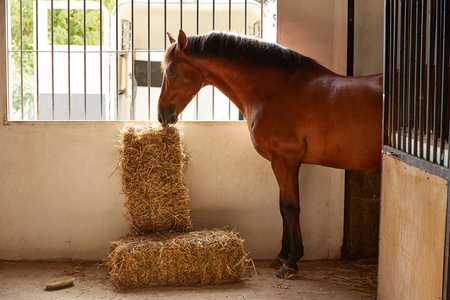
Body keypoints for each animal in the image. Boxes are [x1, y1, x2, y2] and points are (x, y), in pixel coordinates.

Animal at [156, 29, 382, 276]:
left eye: (171, 71)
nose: (161, 115)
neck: (274, 91)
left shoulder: (285, 161)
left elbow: (291, 208)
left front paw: (291, 261)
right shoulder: (281, 163)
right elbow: (282, 208)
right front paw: (282, 255)